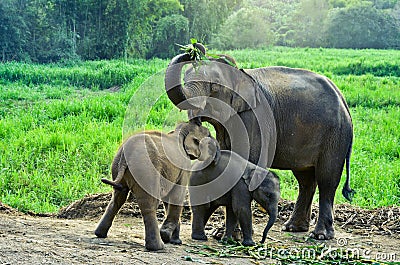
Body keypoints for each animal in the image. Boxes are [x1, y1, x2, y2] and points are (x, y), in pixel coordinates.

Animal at [95, 121, 211, 250]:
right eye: (209, 136)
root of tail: (126, 153)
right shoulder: (184, 166)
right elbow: (177, 195)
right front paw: (167, 237)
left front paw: (174, 241)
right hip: (146, 168)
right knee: (149, 203)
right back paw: (157, 247)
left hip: (117, 165)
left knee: (118, 198)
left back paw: (99, 234)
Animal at [164, 42, 354, 238]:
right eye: (185, 77)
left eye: (214, 86)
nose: (195, 47)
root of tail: (342, 99)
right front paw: (221, 234)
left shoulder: (254, 120)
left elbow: (247, 160)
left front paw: (234, 236)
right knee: (306, 179)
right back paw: (293, 227)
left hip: (335, 135)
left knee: (327, 179)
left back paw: (320, 235)